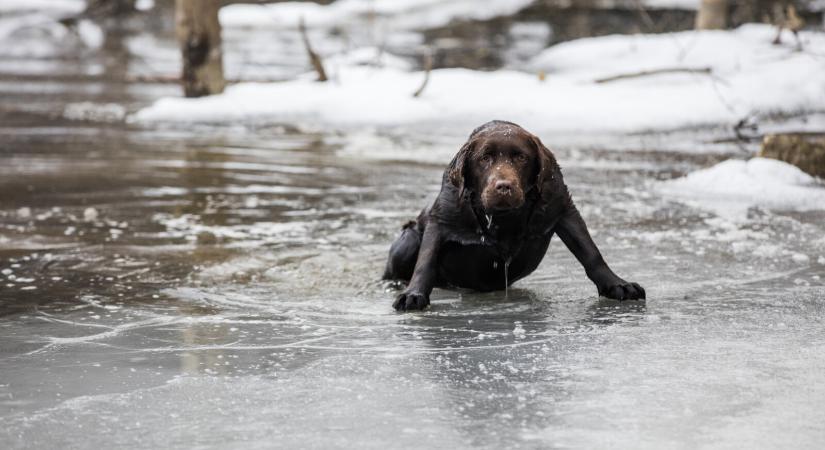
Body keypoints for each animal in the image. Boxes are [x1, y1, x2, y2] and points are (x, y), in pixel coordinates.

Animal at [380, 119, 644, 312]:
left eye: (521, 157)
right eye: (484, 158)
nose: (503, 186)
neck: (503, 219)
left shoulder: (562, 207)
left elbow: (590, 253)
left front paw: (617, 284)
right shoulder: (442, 218)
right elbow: (426, 261)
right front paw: (413, 295)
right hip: (409, 238)